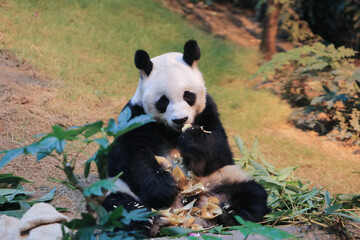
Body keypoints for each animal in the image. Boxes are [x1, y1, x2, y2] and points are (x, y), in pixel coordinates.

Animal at [102, 39, 268, 234]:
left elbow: (219, 152)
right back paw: (143, 220)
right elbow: (129, 153)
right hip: (124, 190)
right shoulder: (135, 117)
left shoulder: (208, 111)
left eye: (188, 95)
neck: (172, 132)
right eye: (163, 101)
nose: (180, 119)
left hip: (225, 179)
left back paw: (229, 211)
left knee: (254, 194)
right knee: (119, 206)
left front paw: (191, 139)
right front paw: (165, 188)